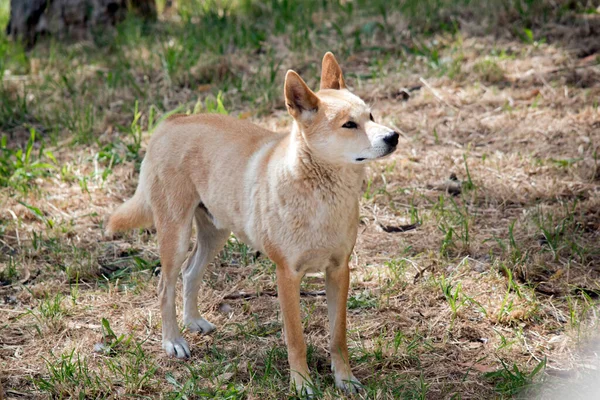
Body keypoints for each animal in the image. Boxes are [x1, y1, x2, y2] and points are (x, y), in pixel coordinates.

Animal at [108, 52, 398, 394]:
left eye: (371, 115)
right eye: (349, 125)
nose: (393, 136)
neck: (321, 196)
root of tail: (171, 121)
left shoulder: (340, 271)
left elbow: (337, 336)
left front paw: (345, 379)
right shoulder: (287, 275)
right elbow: (296, 339)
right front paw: (302, 385)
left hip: (216, 233)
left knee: (190, 273)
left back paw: (193, 322)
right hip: (175, 235)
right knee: (165, 285)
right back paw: (173, 341)